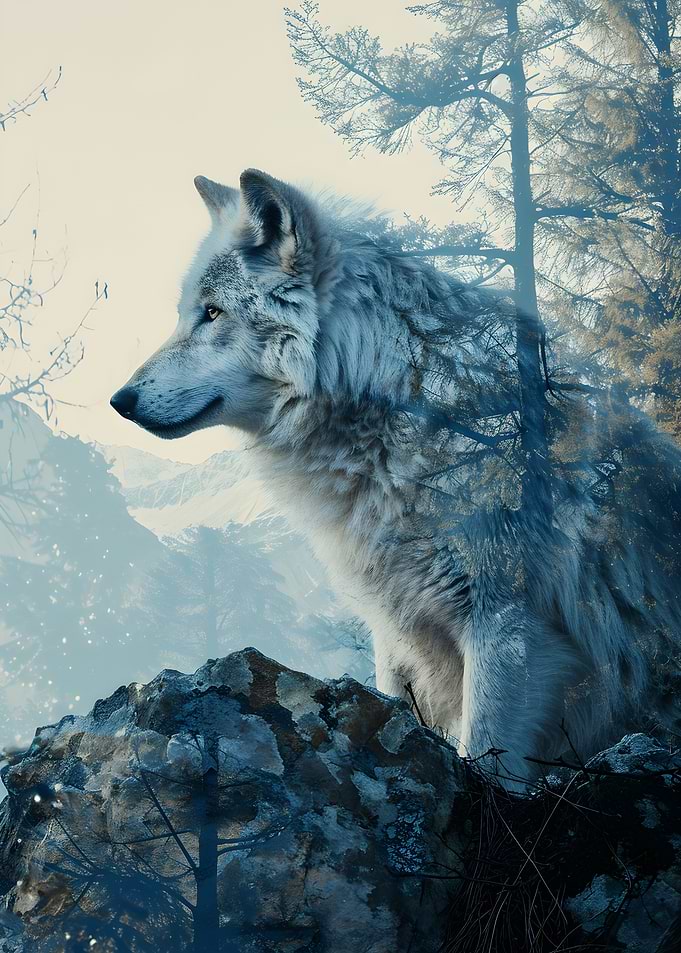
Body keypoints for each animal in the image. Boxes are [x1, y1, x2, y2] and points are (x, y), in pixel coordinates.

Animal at [112, 169, 681, 786]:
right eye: (187, 312)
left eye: (212, 314)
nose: (119, 400)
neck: (402, 409)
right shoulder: (395, 632)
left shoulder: (510, 628)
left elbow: (484, 758)